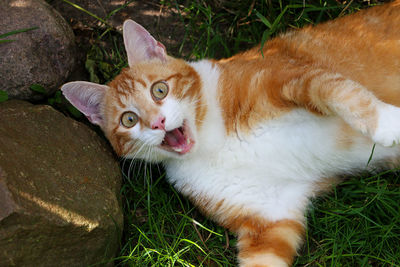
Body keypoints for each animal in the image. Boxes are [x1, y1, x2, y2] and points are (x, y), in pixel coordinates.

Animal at [61, 1, 400, 266]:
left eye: (160, 90)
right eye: (129, 119)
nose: (157, 122)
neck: (215, 140)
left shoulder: (293, 78)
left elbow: (340, 91)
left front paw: (388, 123)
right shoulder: (270, 216)